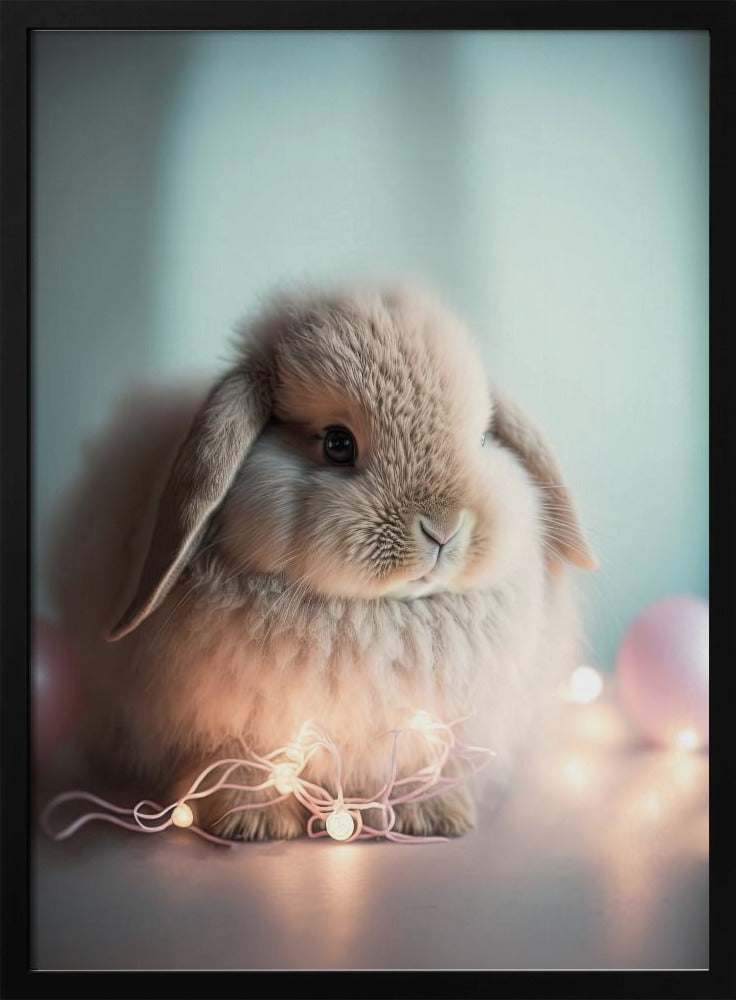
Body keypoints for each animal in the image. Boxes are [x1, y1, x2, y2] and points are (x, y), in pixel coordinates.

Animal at [46, 283, 596, 841]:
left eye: (483, 439)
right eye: (337, 443)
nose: (442, 529)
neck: (376, 614)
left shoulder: (419, 727)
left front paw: (432, 815)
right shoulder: (233, 723)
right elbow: (241, 762)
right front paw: (253, 823)